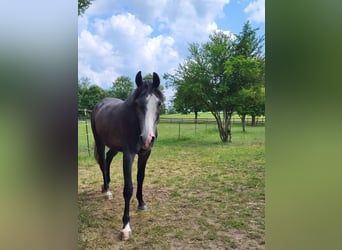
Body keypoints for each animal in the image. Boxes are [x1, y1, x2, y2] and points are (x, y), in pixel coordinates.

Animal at [91, 70, 163, 240]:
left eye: (158, 103)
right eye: (138, 104)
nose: (147, 138)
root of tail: (99, 104)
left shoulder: (145, 153)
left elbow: (140, 178)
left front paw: (141, 203)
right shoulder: (128, 155)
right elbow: (128, 188)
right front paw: (125, 226)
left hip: (115, 147)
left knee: (108, 159)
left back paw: (106, 186)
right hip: (100, 142)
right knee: (103, 163)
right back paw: (107, 191)